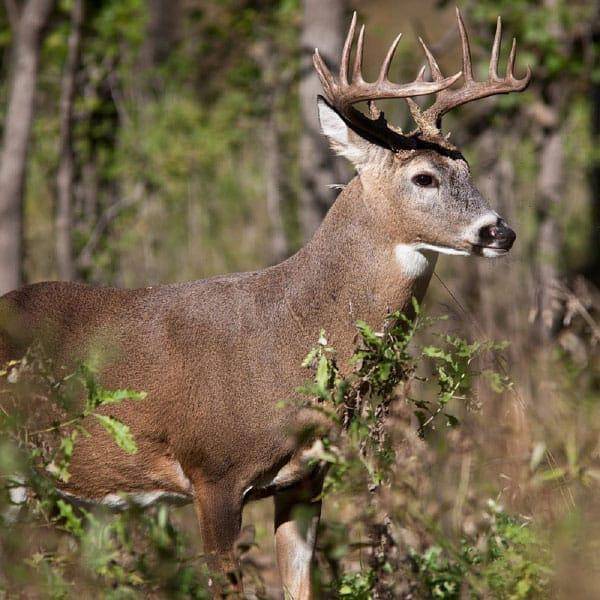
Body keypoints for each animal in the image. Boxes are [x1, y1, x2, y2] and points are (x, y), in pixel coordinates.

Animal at [0, 9, 528, 600]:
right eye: (424, 177)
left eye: (468, 170)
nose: (501, 231)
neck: (287, 337)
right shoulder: (213, 472)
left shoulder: (305, 481)